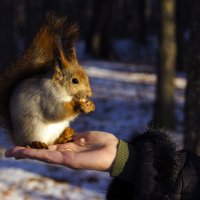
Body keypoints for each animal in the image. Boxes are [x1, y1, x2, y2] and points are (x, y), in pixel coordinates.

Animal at [0, 12, 95, 147]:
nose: (89, 94)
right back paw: (37, 144)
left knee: (52, 142)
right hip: (32, 128)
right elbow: (56, 111)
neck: (62, 90)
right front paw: (79, 106)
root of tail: (17, 140)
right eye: (75, 81)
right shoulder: (46, 98)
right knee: (34, 142)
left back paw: (64, 137)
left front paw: (90, 105)